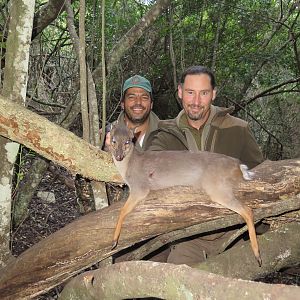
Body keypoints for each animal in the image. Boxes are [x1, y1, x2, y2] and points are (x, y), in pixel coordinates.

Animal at [109, 123, 262, 266]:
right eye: (113, 140)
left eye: (128, 141)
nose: (119, 156)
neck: (129, 166)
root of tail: (239, 167)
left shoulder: (139, 187)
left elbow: (122, 211)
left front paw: (114, 241)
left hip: (217, 187)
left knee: (247, 210)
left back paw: (257, 255)